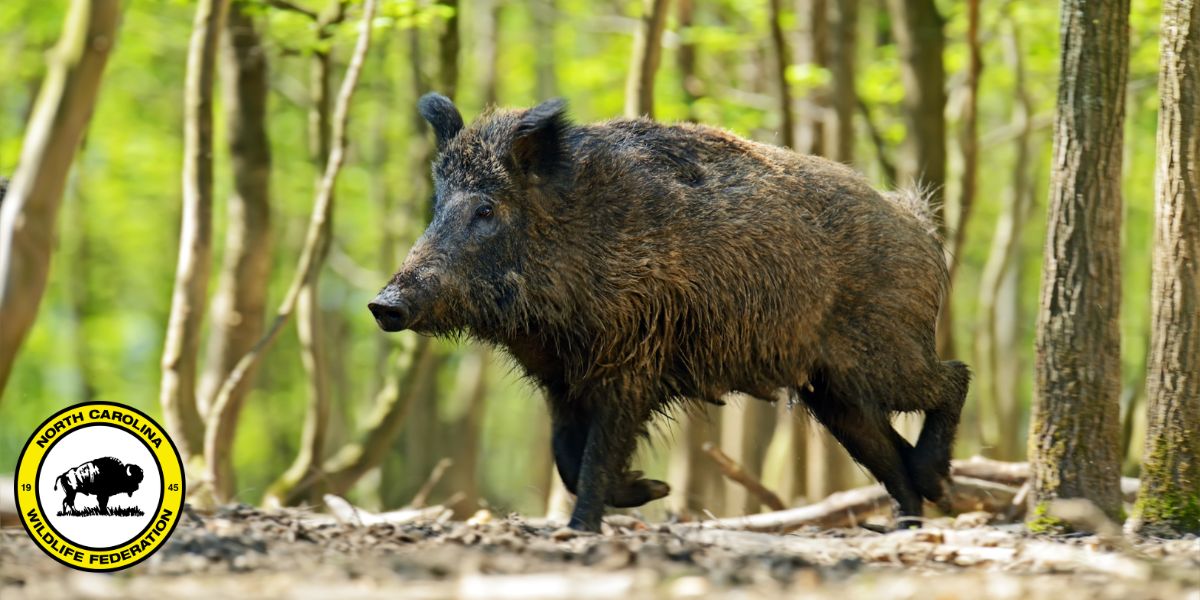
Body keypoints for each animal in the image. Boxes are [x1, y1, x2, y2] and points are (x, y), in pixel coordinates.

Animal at [370, 94, 970, 532]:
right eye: (436, 205)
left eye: (486, 208)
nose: (383, 304)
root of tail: (919, 222)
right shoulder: (561, 379)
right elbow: (565, 455)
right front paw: (648, 491)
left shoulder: (632, 363)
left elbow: (595, 455)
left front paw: (586, 528)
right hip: (833, 390)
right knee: (886, 450)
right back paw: (907, 520)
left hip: (883, 354)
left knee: (953, 378)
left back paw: (934, 486)